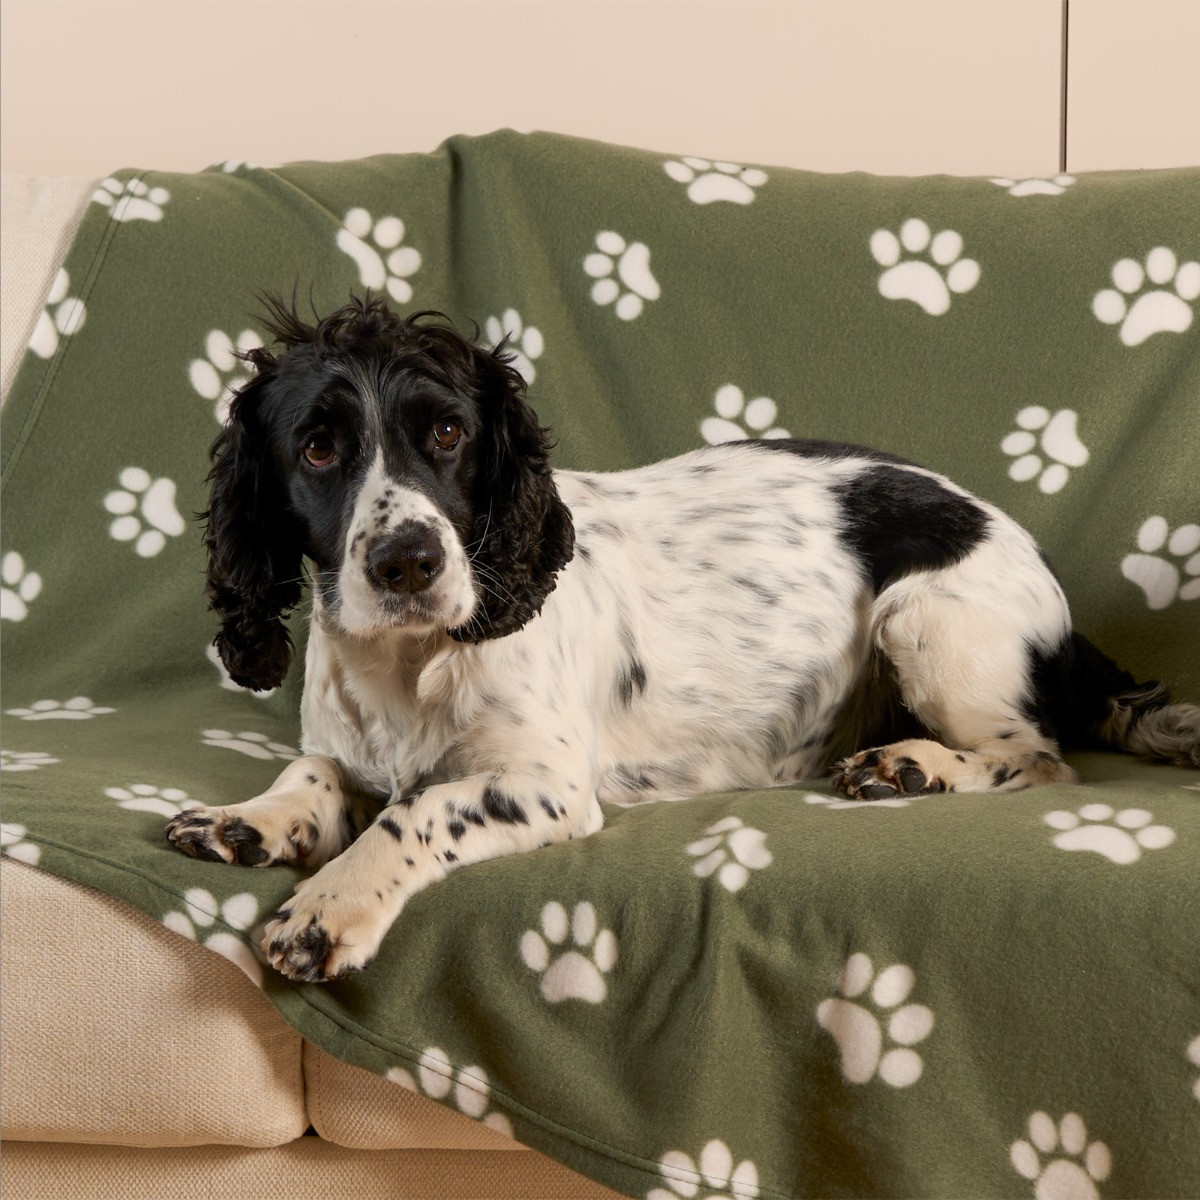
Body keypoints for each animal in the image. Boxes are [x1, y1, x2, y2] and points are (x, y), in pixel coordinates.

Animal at [166, 295, 1200, 979]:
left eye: (450, 433)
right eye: (318, 447)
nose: (407, 562)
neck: (410, 665)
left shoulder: (546, 785)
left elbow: (413, 809)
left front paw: (328, 907)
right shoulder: (347, 741)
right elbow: (313, 771)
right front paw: (249, 819)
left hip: (928, 619)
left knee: (1040, 757)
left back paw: (915, 766)